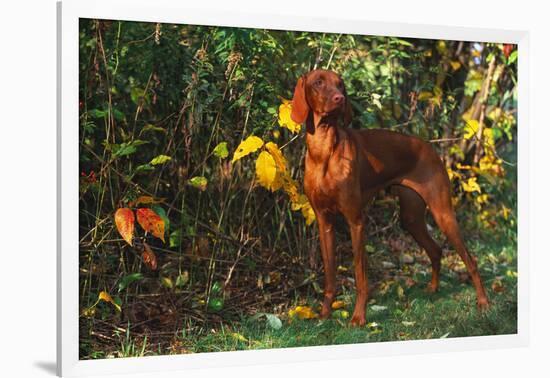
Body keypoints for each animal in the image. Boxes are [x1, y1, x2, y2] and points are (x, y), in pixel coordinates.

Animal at [294, 69, 492, 326]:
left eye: (340, 84)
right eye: (318, 82)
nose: (340, 98)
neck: (324, 150)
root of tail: (429, 146)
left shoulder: (356, 221)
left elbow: (361, 276)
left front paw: (358, 318)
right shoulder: (324, 222)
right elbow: (329, 276)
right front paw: (324, 315)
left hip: (442, 213)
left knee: (471, 259)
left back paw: (483, 302)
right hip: (411, 217)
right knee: (436, 250)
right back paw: (433, 288)